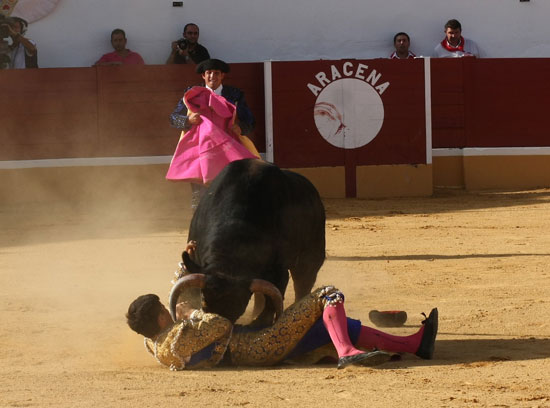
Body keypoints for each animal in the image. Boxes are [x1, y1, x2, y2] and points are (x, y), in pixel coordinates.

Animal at [181, 158, 328, 324]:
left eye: (239, 304)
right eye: (204, 300)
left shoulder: (279, 269)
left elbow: (274, 294)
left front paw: (262, 321)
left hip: (311, 257)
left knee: (303, 283)